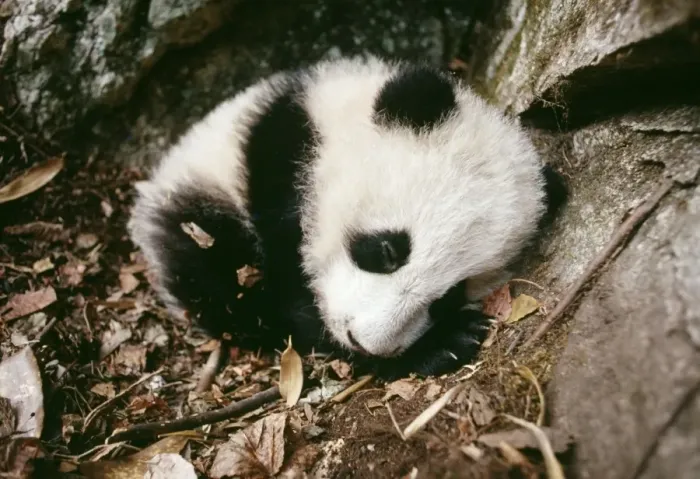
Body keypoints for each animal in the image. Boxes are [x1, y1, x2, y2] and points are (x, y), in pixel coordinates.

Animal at [128, 55, 567, 379]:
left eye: (449, 296)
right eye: (388, 250)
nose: (366, 341)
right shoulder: (280, 159)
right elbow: (292, 298)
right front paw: (441, 344)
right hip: (200, 198)